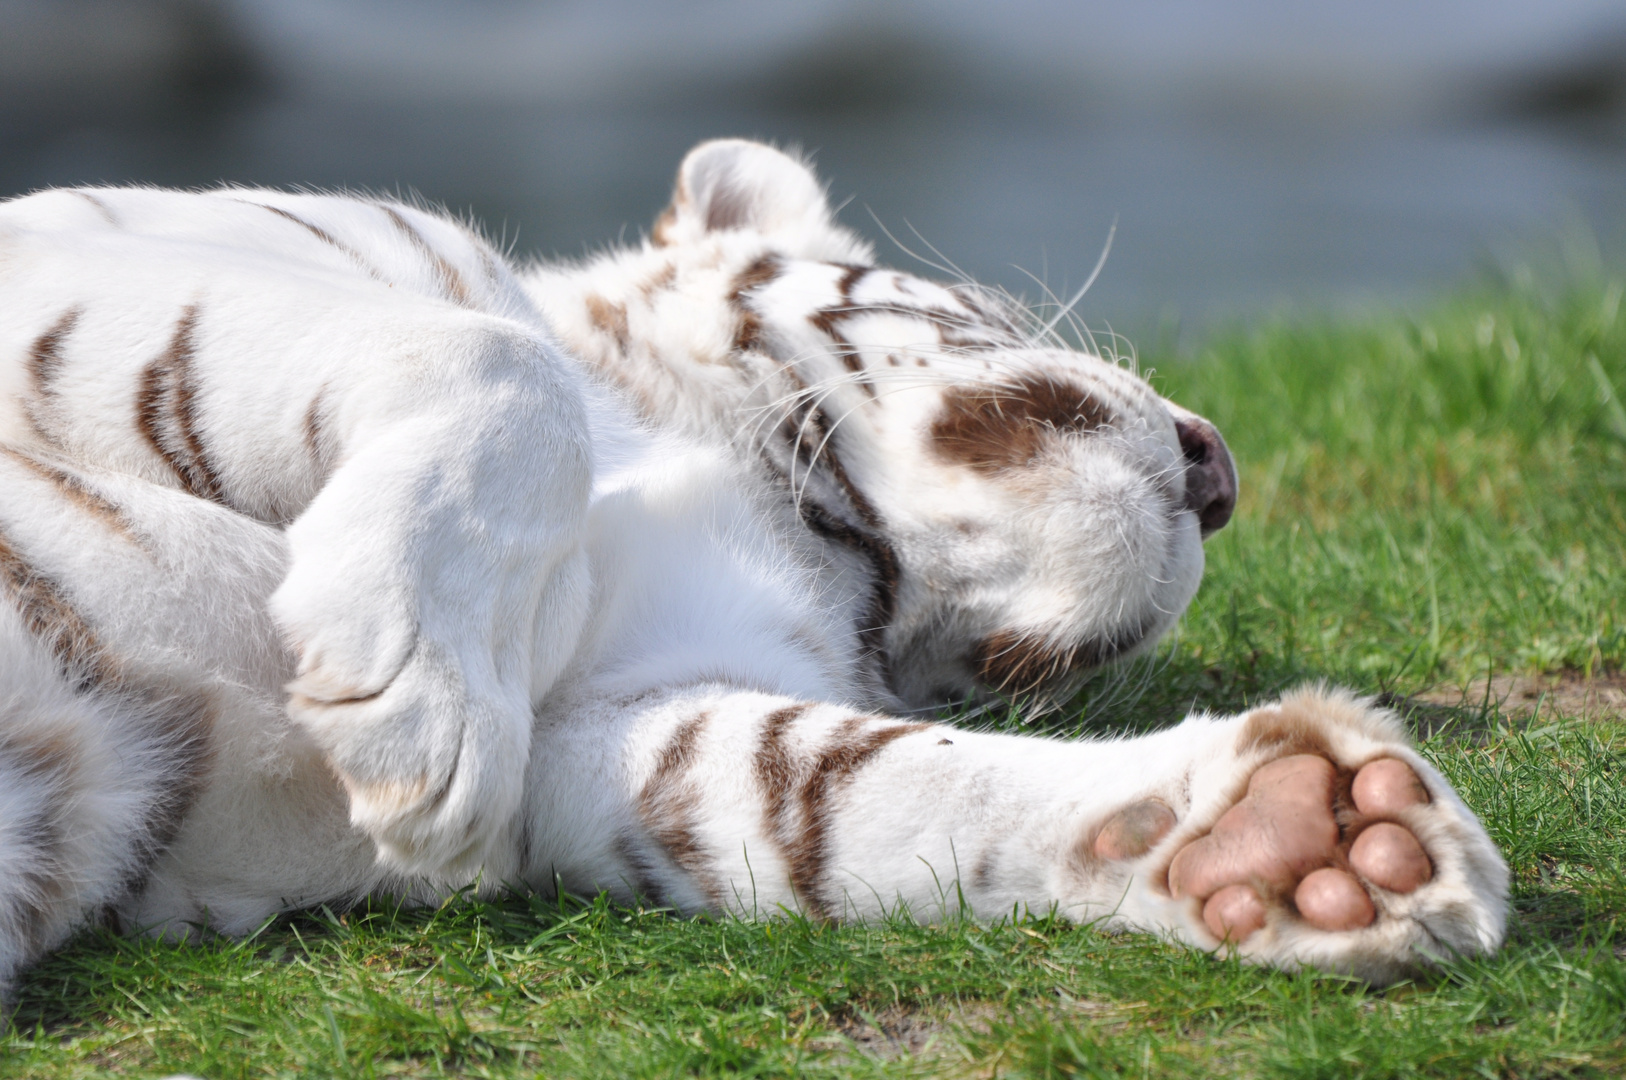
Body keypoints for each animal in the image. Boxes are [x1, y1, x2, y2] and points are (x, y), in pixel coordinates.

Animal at [0, 137, 1508, 1001]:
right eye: (990, 306)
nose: (1221, 471)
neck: (796, 497)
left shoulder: (611, 725)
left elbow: (837, 785)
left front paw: (1304, 838)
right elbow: (499, 356)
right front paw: (416, 700)